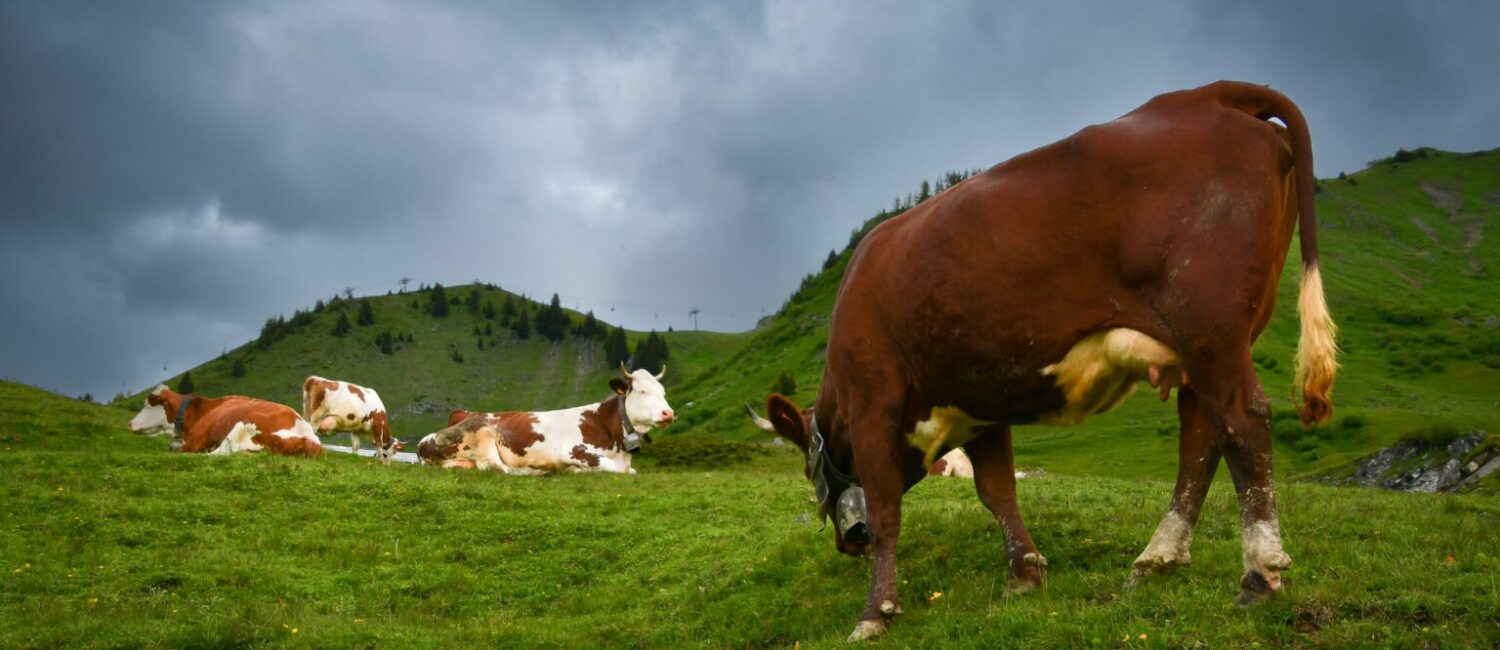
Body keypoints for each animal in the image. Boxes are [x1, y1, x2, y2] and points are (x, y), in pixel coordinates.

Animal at [128, 384, 322, 457]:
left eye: (147, 405)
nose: (130, 423)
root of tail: (307, 436)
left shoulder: (195, 440)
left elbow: (175, 447)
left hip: (240, 427)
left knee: (215, 454)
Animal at [416, 364, 675, 474]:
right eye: (642, 391)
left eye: (663, 392)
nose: (668, 413)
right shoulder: (573, 451)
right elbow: (611, 468)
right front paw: (573, 471)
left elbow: (630, 472)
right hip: (482, 433)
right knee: (497, 467)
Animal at [754, 81, 1338, 641]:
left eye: (808, 465)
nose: (846, 542)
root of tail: (1210, 93)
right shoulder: (977, 402)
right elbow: (997, 492)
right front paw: (1024, 574)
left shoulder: (874, 399)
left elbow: (886, 509)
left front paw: (876, 612)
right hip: (1208, 344)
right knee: (1201, 438)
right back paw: (1157, 559)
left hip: (1210, 329)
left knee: (1243, 424)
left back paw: (1258, 574)